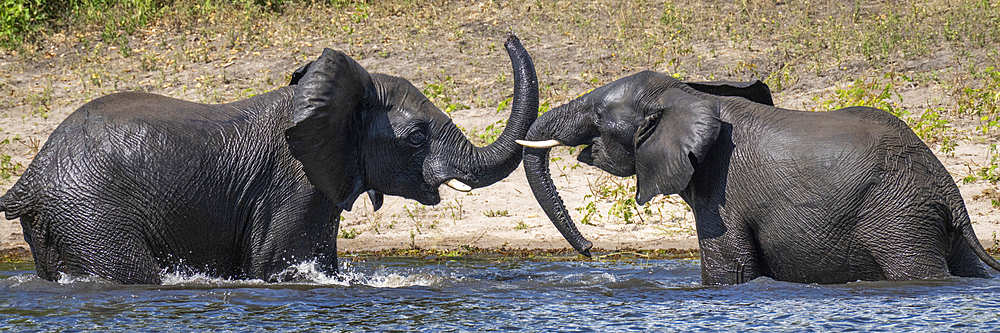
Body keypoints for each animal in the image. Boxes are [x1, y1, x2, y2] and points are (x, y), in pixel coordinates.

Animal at [0, 33, 540, 284]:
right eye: (415, 138)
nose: (507, 38)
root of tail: (30, 177)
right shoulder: (295, 186)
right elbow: (280, 266)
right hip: (91, 212)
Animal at [520, 71, 1000, 284]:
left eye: (600, 116)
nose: (590, 248)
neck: (686, 95)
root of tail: (949, 190)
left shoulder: (723, 191)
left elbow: (728, 267)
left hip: (900, 218)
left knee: (917, 270)